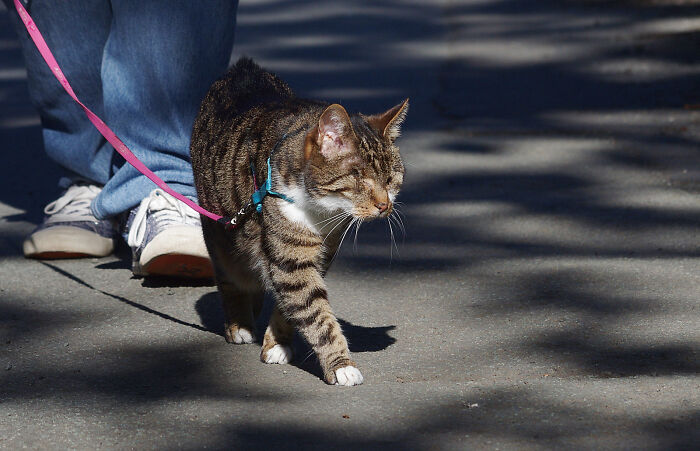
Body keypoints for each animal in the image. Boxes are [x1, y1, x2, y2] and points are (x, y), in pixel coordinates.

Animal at [189, 58, 408, 386]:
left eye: (392, 179)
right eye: (360, 179)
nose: (385, 205)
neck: (322, 210)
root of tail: (243, 67)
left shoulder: (324, 251)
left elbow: (293, 303)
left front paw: (277, 343)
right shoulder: (290, 255)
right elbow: (315, 312)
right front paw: (341, 365)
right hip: (221, 229)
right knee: (232, 275)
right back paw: (239, 323)